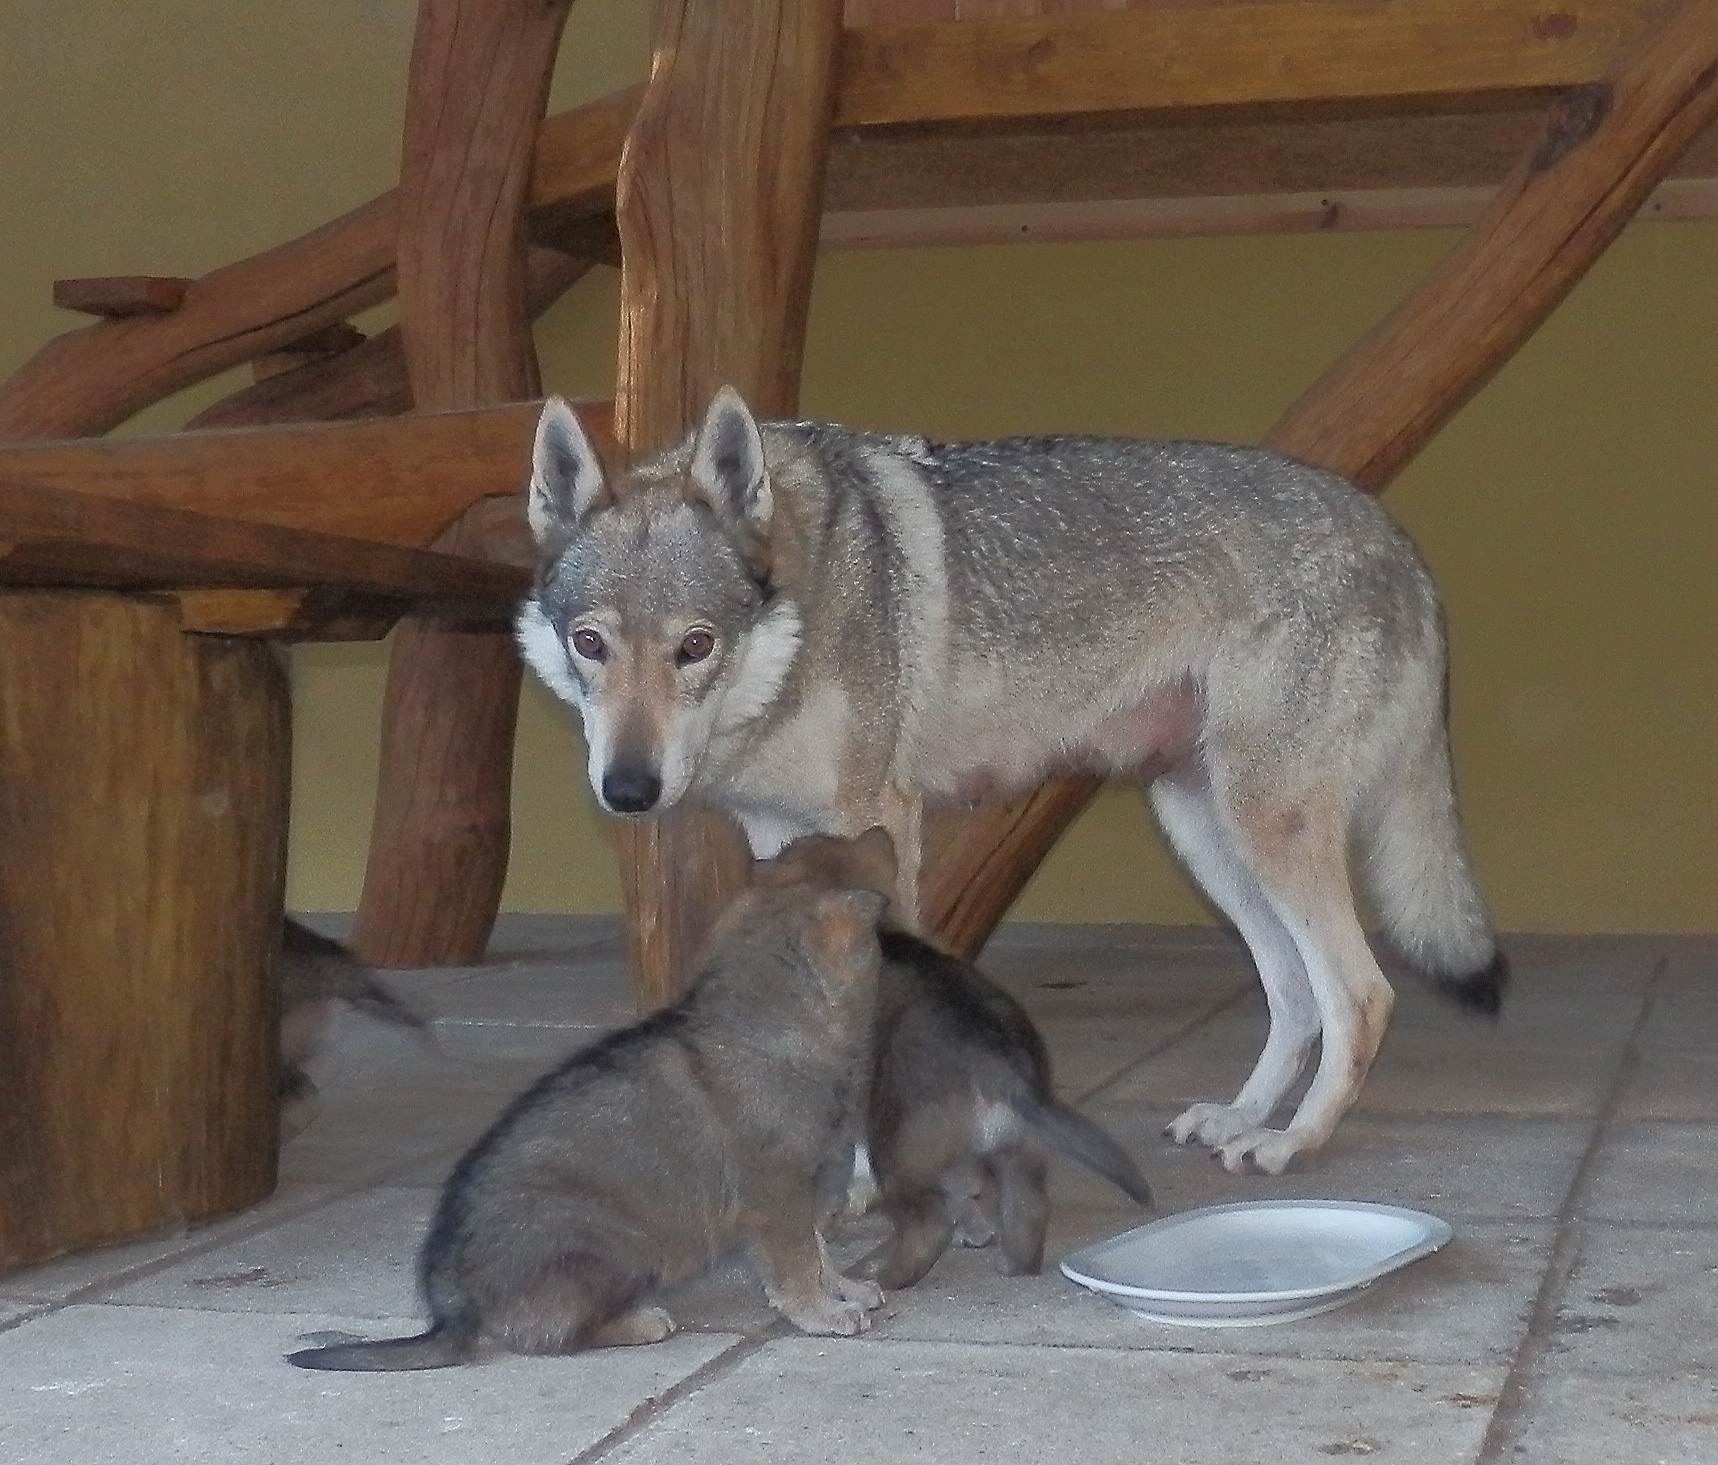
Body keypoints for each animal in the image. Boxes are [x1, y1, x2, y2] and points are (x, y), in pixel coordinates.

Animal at [283, 834, 893, 1373]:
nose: (882, 833)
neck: (772, 1018)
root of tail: (456, 1316)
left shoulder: (803, 1188)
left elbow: (819, 1250)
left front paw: (847, 1290)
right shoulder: (776, 1194)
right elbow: (797, 1266)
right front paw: (824, 1315)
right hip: (622, 1245)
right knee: (550, 1336)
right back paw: (643, 1322)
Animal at [511, 388, 1504, 1174]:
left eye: (695, 645)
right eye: (589, 643)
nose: (628, 790)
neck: (803, 612)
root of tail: (1396, 538)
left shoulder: (877, 824)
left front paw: (868, 1178)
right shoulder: (780, 837)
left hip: (1265, 825)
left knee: (1360, 994)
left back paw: (1291, 1140)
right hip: (1206, 833)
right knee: (1296, 994)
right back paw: (1242, 1116)